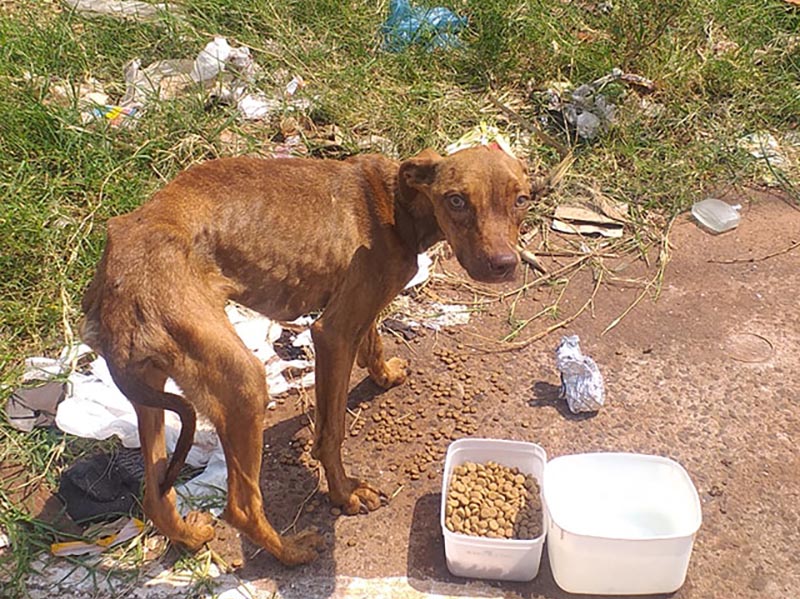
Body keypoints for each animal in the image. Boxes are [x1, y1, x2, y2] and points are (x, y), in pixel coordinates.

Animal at [79, 145, 532, 568]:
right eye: (456, 200)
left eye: (522, 199)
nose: (503, 265)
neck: (394, 205)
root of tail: (115, 273)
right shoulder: (331, 334)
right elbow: (331, 432)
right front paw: (344, 495)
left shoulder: (356, 311)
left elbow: (372, 340)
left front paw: (384, 374)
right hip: (243, 382)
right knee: (241, 507)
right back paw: (292, 552)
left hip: (150, 393)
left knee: (155, 499)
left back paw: (190, 537)